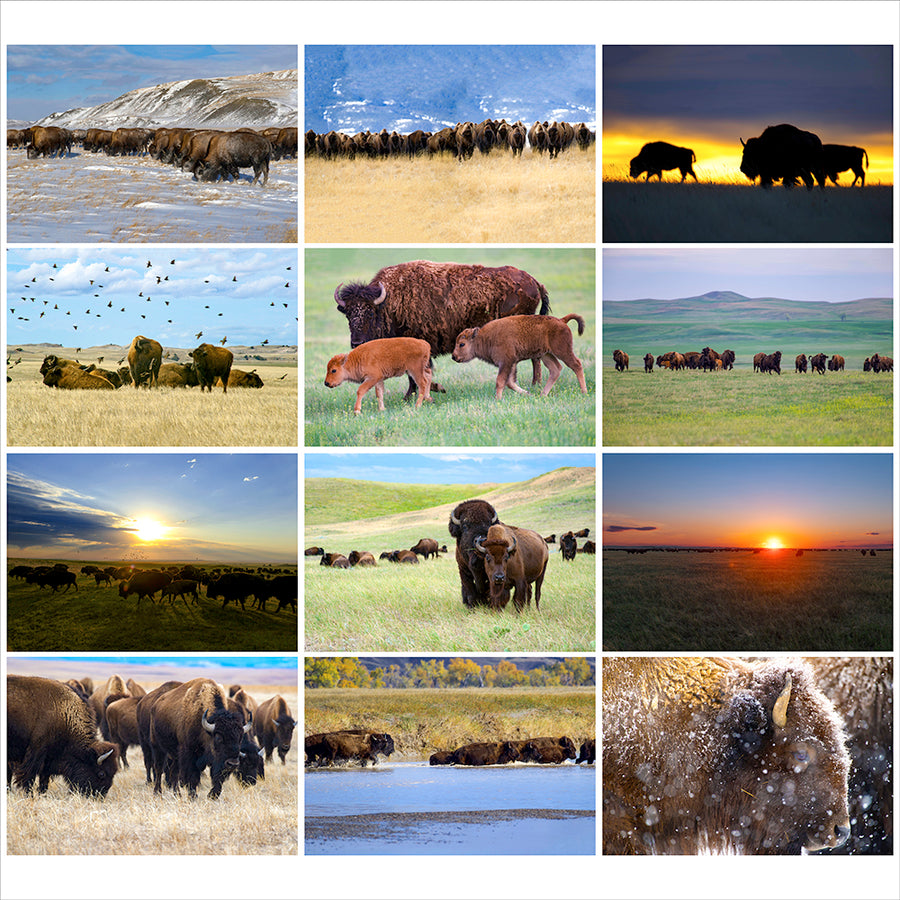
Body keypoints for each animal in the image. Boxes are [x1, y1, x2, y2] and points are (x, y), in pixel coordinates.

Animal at [336, 258, 552, 396]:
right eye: (347, 314)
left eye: (370, 313)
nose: (356, 343)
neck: (389, 303)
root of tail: (533, 281)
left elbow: (415, 375)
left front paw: (421, 393)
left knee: (534, 358)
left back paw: (534, 384)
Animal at [450, 316, 592, 400]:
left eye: (462, 344)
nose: (454, 356)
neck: (484, 337)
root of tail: (561, 320)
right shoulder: (512, 363)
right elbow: (510, 382)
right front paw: (528, 393)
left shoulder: (506, 362)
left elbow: (500, 381)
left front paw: (497, 399)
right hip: (546, 355)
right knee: (555, 369)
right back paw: (542, 395)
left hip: (562, 351)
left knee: (576, 365)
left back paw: (584, 392)